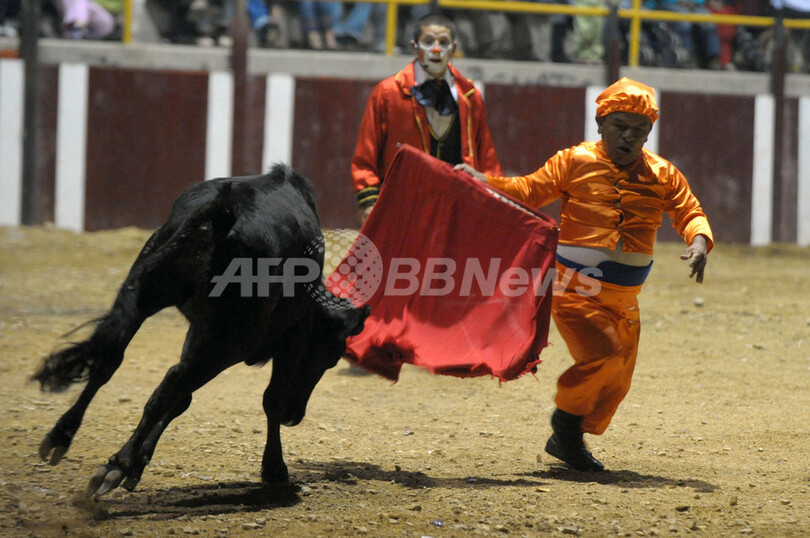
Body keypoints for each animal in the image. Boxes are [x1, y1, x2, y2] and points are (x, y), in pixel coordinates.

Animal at [31, 164, 370, 497]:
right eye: (332, 358)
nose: (294, 416)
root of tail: (221, 212)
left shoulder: (198, 330)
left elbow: (182, 398)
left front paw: (138, 465)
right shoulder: (289, 338)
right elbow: (269, 398)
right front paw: (274, 469)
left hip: (141, 295)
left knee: (113, 357)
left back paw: (64, 436)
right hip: (232, 341)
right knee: (170, 381)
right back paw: (116, 465)